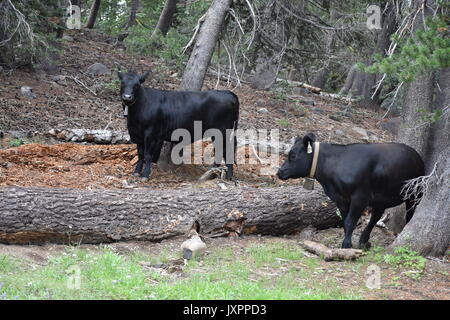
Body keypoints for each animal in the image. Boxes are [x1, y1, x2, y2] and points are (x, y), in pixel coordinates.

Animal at [278, 134, 426, 249]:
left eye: (293, 155)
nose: (279, 172)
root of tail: (416, 154)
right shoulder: (341, 199)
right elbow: (345, 221)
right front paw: (348, 242)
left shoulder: (359, 197)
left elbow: (350, 221)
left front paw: (346, 245)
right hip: (381, 198)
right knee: (375, 217)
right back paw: (364, 242)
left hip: (415, 194)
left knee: (409, 215)